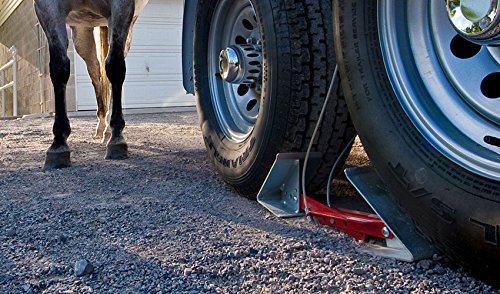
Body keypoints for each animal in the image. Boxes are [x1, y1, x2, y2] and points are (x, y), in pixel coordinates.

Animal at [34, 0, 148, 169]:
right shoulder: (47, 7)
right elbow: (59, 68)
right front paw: (58, 144)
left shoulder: (122, 7)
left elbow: (115, 67)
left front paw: (117, 139)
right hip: (82, 30)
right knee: (95, 70)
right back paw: (103, 126)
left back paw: (109, 131)